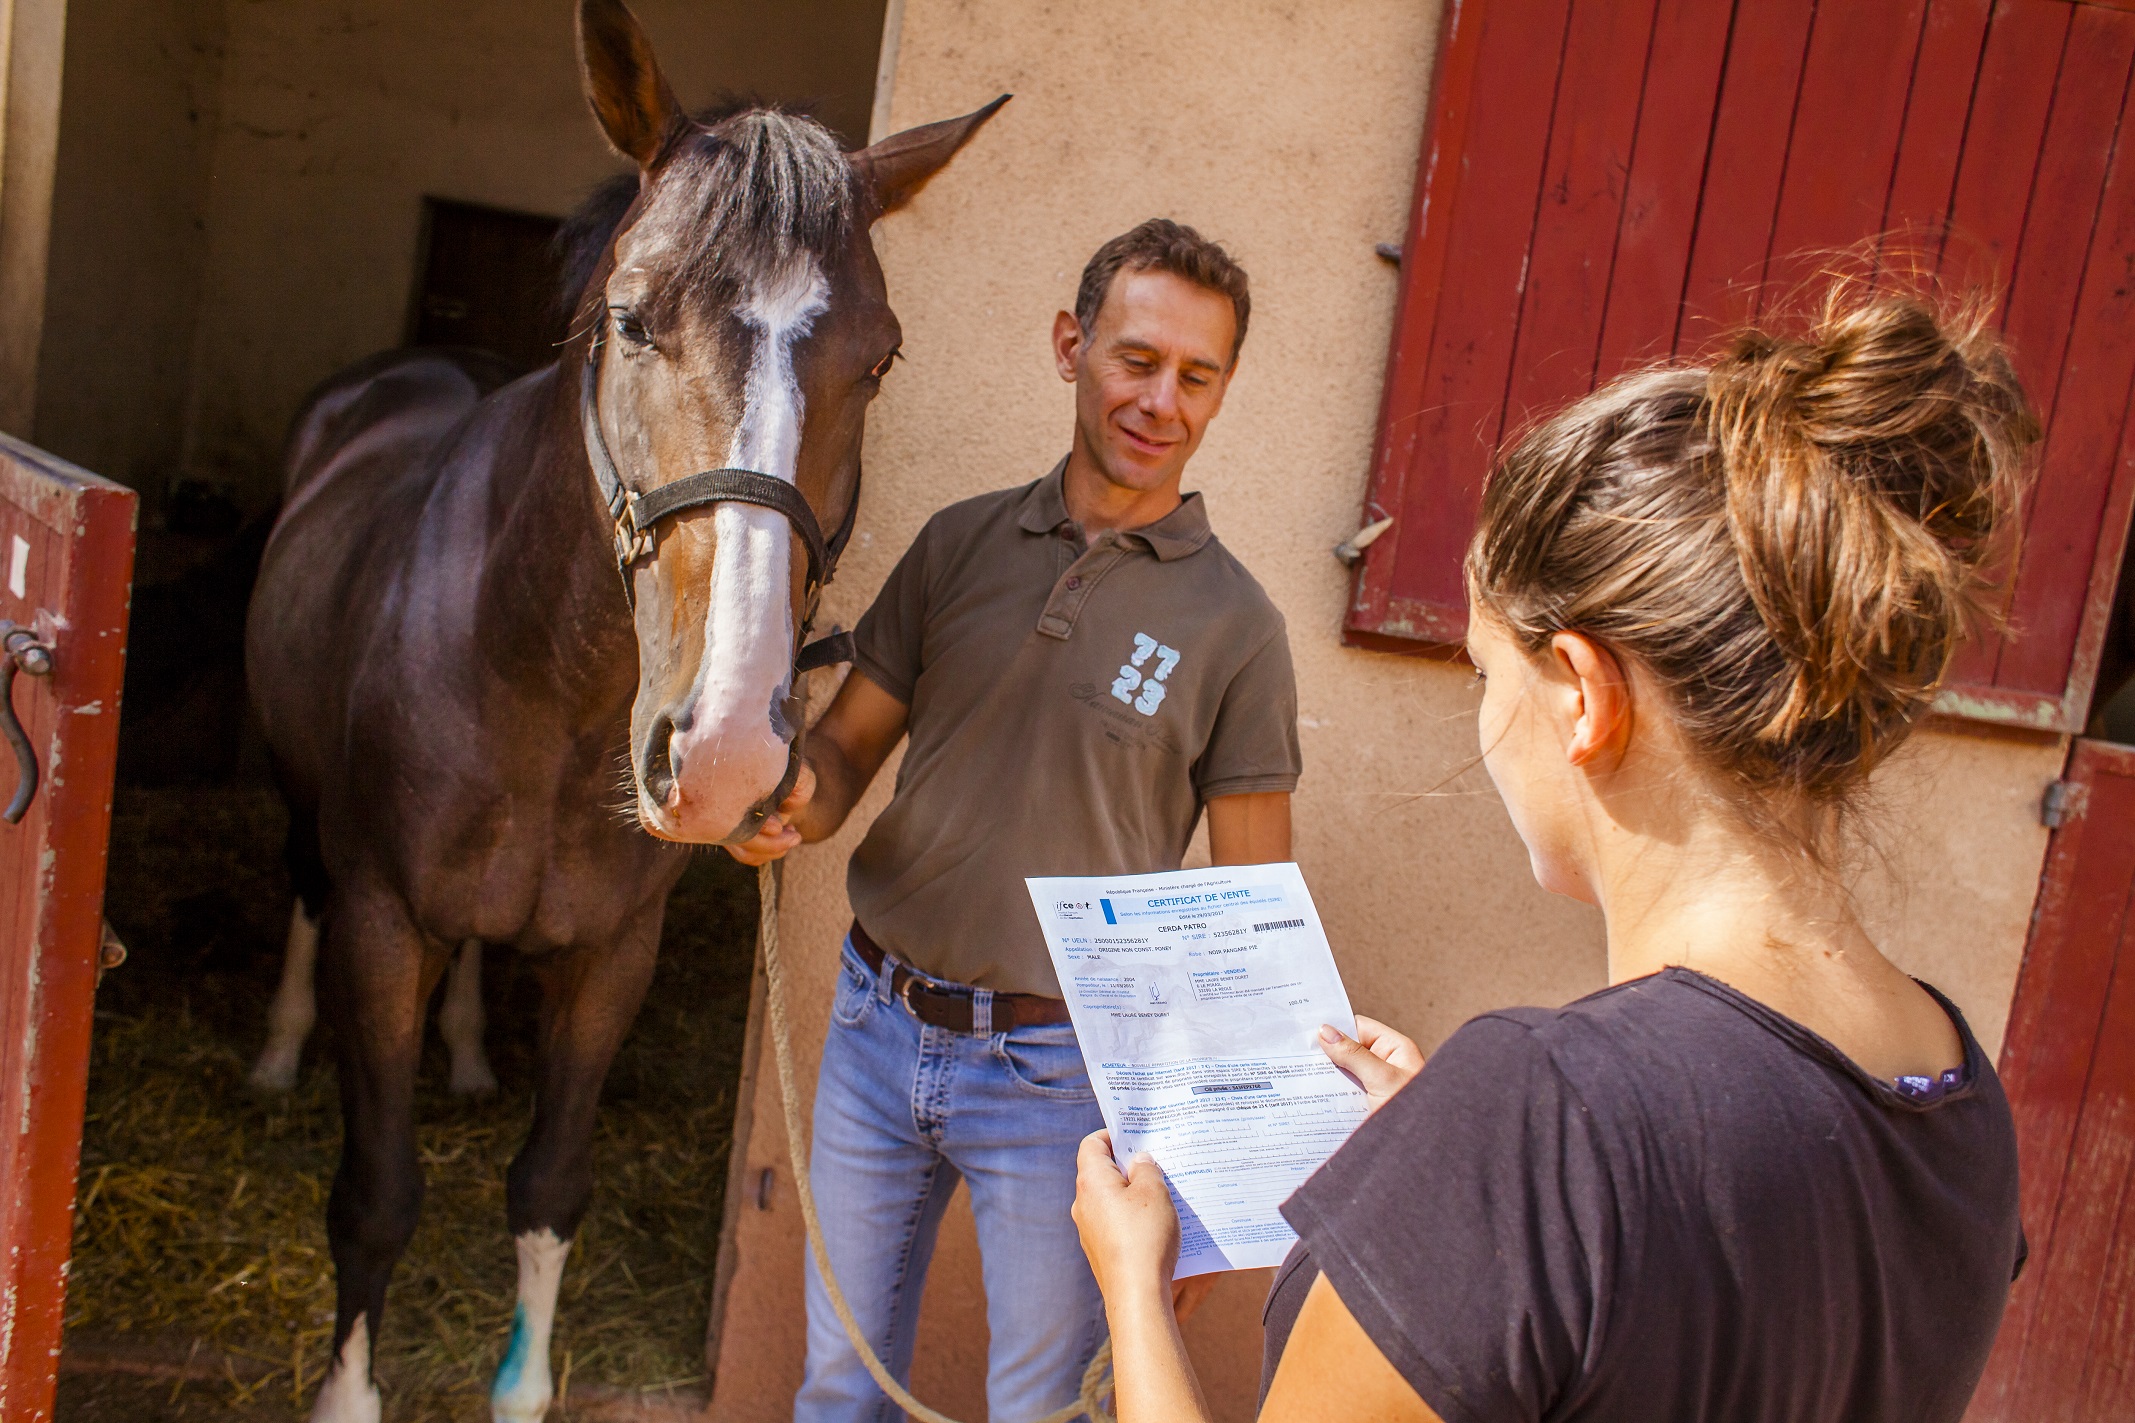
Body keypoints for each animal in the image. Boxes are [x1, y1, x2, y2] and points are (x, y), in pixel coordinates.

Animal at [243, 2, 1004, 1416]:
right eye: (632, 318)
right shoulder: (383, 925)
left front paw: (522, 1384)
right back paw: (273, 1056)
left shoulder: (614, 954)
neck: (538, 680)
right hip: (303, 805)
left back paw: (470, 1052)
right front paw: (348, 1391)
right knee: (302, 889)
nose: (726, 750)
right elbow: (375, 1195)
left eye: (879, 358)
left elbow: (550, 1184)